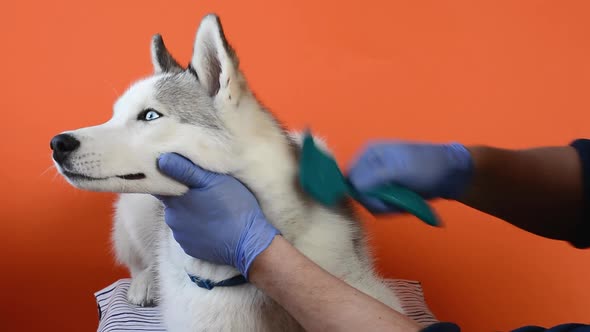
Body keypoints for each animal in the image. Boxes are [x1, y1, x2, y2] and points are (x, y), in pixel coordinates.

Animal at [49, 13, 408, 332]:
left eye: (150, 115)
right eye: (113, 115)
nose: (57, 143)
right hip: (134, 210)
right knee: (138, 260)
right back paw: (145, 282)